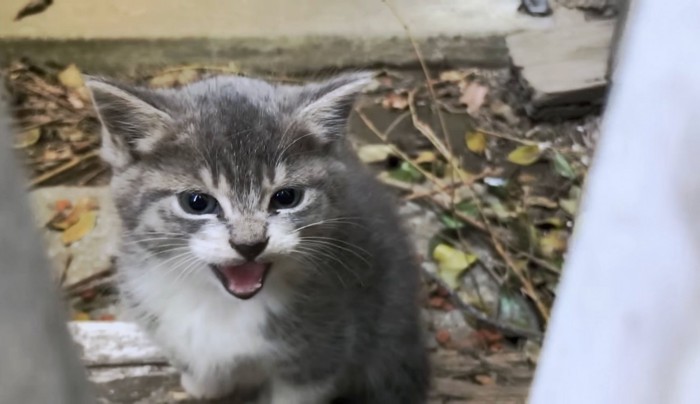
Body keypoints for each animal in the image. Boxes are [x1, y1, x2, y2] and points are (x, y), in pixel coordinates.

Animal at [85, 73, 430, 404]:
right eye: (197, 202)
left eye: (286, 197)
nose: (249, 244)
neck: (219, 304)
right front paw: (202, 383)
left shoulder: (322, 350)